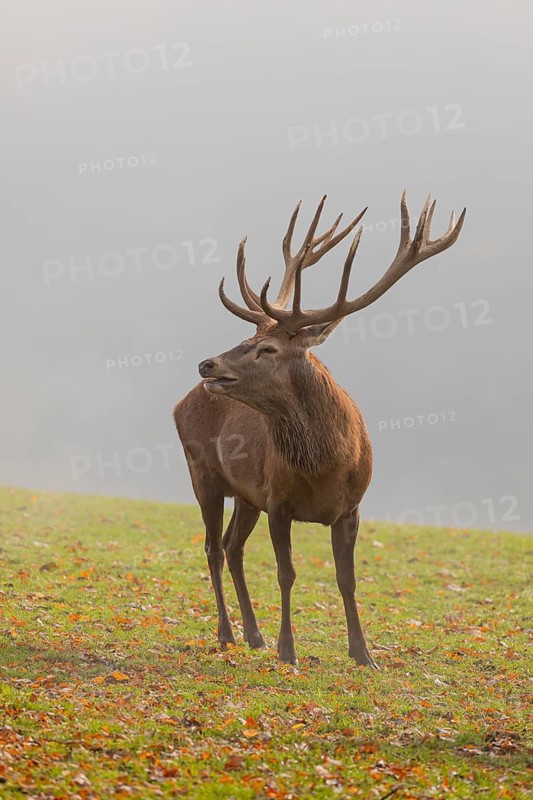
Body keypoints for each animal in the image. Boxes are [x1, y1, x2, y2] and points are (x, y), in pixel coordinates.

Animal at [173, 191, 465, 666]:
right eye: (247, 339)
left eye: (267, 348)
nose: (207, 364)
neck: (324, 468)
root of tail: (181, 402)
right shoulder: (278, 501)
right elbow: (286, 573)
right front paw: (287, 651)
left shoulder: (351, 507)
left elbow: (347, 579)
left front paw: (364, 655)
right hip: (203, 474)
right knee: (213, 548)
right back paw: (227, 634)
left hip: (246, 495)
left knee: (233, 547)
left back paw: (253, 634)